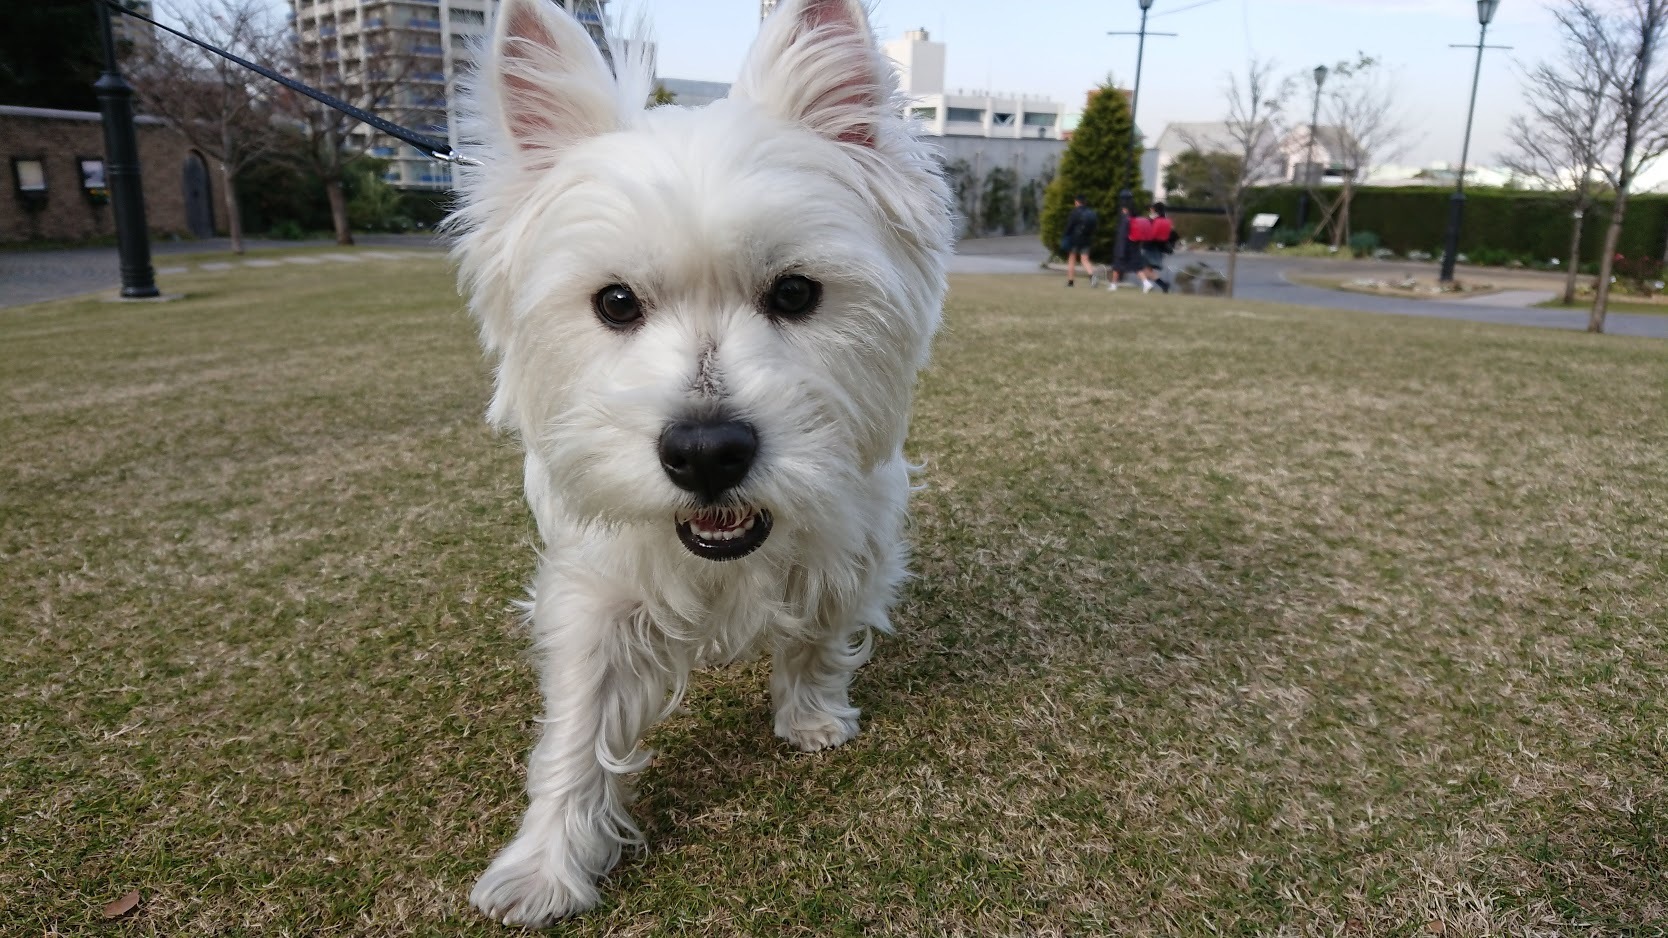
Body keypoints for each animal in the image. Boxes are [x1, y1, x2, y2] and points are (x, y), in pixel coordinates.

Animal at [443, 0, 954, 921]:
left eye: (795, 293)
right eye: (615, 302)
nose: (707, 452)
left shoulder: (849, 532)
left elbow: (819, 628)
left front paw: (811, 715)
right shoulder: (595, 587)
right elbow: (579, 724)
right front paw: (544, 867)